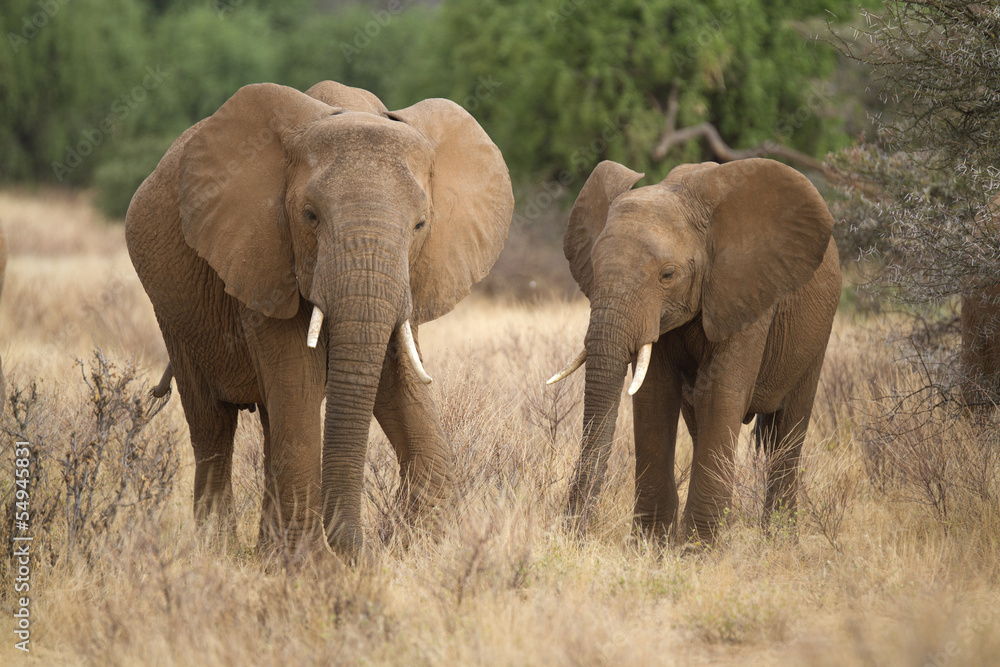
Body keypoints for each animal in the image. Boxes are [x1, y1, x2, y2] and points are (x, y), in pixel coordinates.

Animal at [125, 79, 512, 564]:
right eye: (310, 216)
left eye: (421, 225)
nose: (361, 550)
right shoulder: (266, 256)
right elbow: (299, 381)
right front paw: (313, 567)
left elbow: (396, 383)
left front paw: (414, 549)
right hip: (172, 308)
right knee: (212, 424)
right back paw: (220, 552)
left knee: (270, 424)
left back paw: (267, 554)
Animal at [552, 159, 840, 544]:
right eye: (595, 270)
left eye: (668, 275)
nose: (572, 533)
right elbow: (654, 397)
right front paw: (651, 545)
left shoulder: (745, 293)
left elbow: (721, 395)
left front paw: (698, 549)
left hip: (816, 333)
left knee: (789, 430)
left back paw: (779, 541)